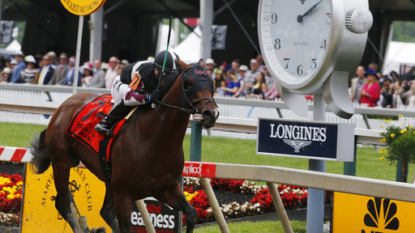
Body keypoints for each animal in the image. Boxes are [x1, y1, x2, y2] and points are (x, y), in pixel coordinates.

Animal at [29, 58, 221, 233]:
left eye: (211, 83)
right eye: (188, 84)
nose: (210, 113)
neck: (157, 139)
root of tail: (64, 105)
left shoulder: (166, 188)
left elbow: (192, 214)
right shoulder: (124, 193)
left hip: (107, 176)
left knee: (105, 212)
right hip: (61, 162)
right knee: (63, 204)